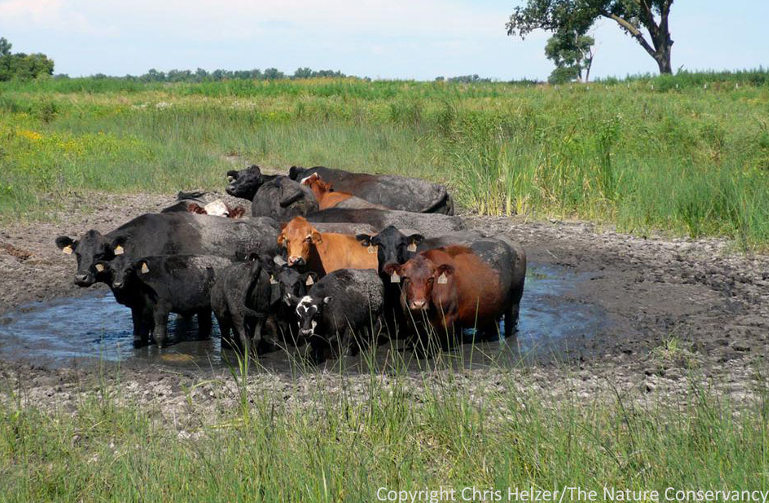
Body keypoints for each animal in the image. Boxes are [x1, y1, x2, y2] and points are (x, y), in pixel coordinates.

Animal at [389, 239, 526, 355]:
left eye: (431, 279)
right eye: (406, 278)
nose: (419, 304)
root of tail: (515, 245)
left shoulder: (449, 317)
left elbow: (446, 342)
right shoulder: (410, 319)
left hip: (515, 302)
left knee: (511, 324)